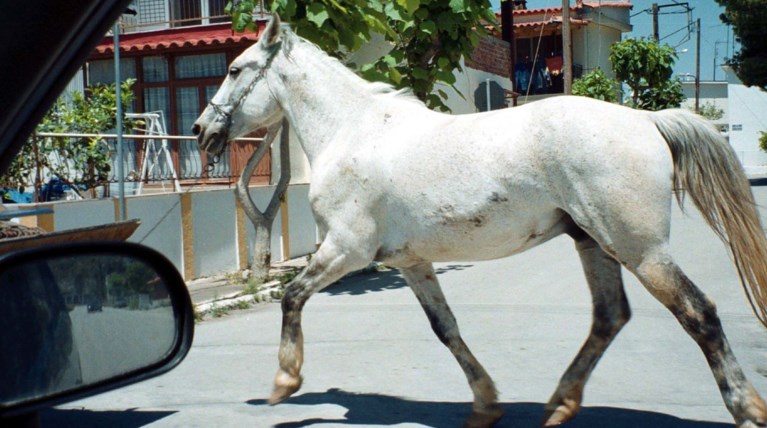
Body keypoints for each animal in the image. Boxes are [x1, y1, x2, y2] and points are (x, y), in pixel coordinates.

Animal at [195, 15, 767, 428]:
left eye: (234, 70)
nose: (202, 131)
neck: (353, 130)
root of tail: (648, 120)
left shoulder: (346, 250)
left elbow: (291, 297)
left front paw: (283, 382)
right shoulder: (410, 263)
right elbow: (445, 328)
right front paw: (486, 405)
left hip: (641, 251)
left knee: (699, 313)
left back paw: (746, 408)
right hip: (594, 242)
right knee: (610, 317)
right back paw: (560, 404)